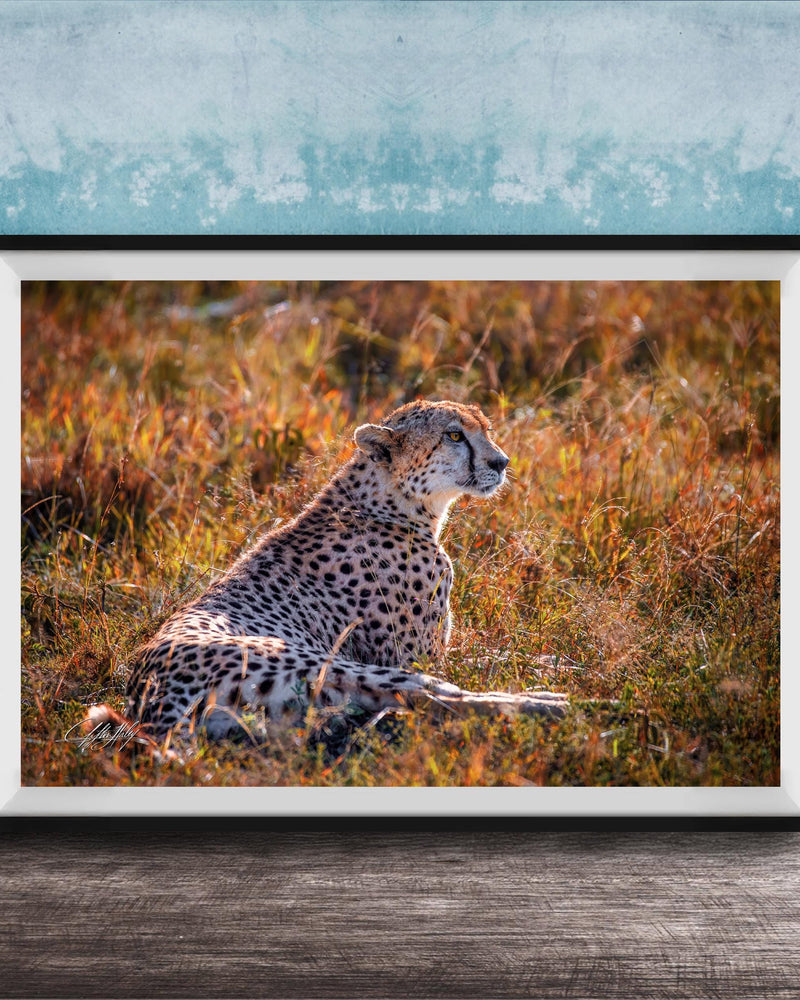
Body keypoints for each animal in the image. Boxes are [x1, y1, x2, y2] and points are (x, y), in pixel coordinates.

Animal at [88, 399, 568, 746]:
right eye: (454, 435)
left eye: (486, 429)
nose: (502, 462)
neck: (390, 503)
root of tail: (148, 698)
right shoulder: (413, 655)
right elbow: (468, 665)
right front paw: (547, 671)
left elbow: (496, 653)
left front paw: (547, 658)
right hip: (325, 663)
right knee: (432, 695)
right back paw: (548, 704)